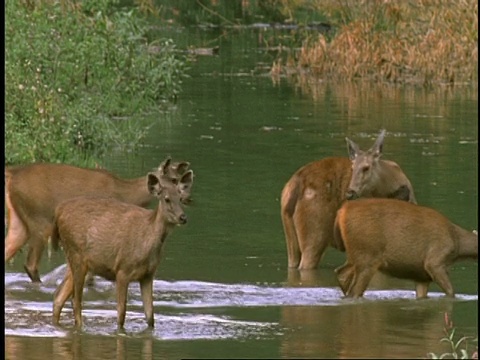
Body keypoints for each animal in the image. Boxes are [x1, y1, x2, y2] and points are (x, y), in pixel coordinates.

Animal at [5, 156, 193, 282]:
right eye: (174, 179)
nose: (188, 198)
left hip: (19, 222)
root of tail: (13, 175)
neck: (126, 194)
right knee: (31, 264)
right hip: (40, 218)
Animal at [50, 166, 189, 330]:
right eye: (166, 199)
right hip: (76, 253)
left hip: (74, 260)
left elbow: (150, 316)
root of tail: (58, 211)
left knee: (58, 296)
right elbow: (121, 313)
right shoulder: (122, 270)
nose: (182, 217)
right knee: (75, 300)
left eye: (181, 198)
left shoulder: (148, 275)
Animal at [332, 197, 478, 298]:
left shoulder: (422, 276)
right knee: (354, 289)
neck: (458, 245)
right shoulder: (435, 260)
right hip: (368, 254)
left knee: (342, 273)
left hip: (356, 253)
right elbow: (451, 292)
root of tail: (341, 211)